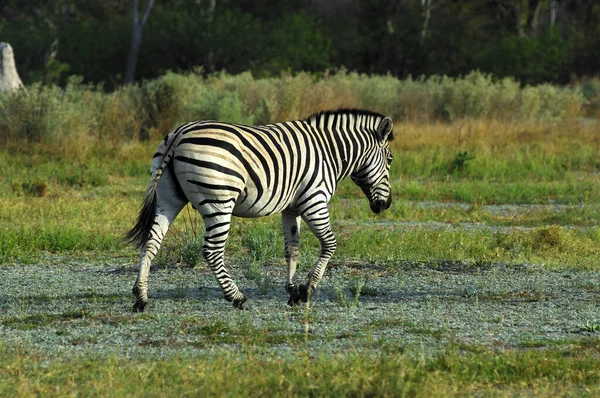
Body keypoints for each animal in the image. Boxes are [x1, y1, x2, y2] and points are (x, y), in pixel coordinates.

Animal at [126, 108, 394, 310]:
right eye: (390, 160)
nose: (386, 205)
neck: (329, 152)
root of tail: (179, 134)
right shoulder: (314, 201)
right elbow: (330, 244)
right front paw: (308, 289)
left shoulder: (291, 208)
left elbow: (292, 250)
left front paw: (293, 292)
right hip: (219, 201)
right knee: (212, 251)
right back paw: (237, 298)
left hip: (167, 198)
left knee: (151, 242)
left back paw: (141, 297)